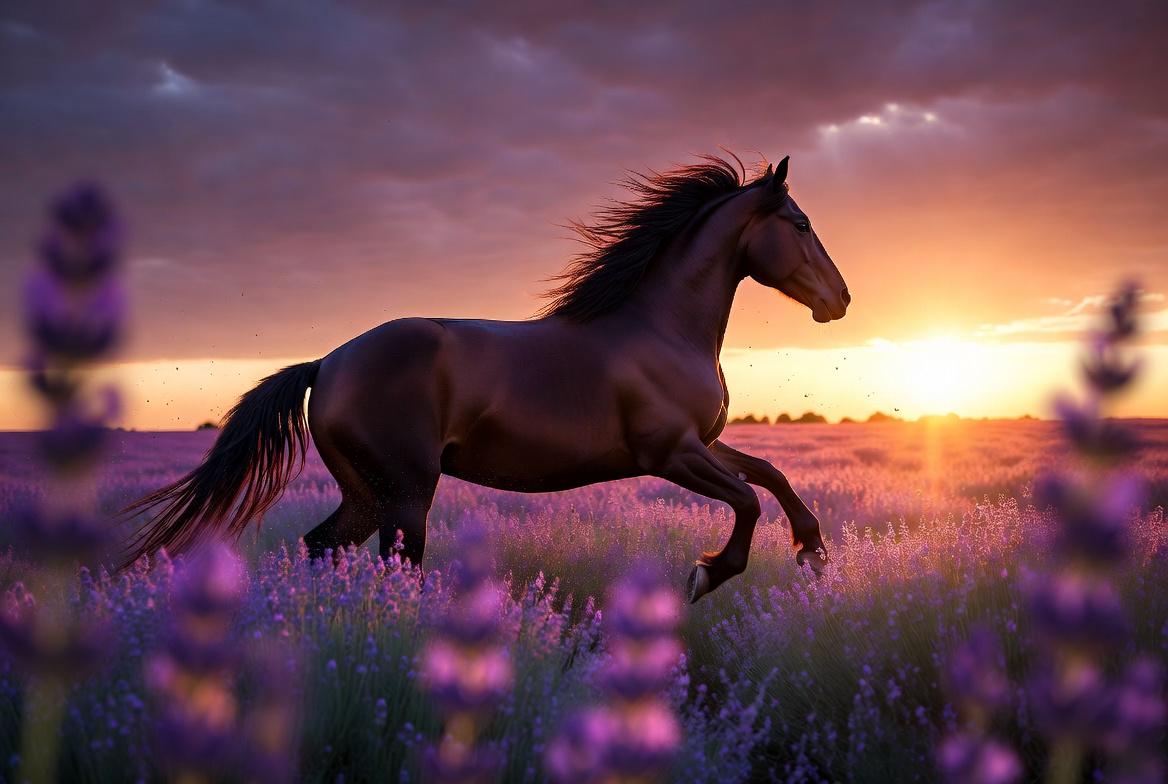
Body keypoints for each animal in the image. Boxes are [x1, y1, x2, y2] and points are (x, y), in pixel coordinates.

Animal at [122, 153, 850, 603]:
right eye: (801, 223)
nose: (840, 300)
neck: (661, 327)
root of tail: (326, 364)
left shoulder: (704, 443)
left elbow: (770, 475)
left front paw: (814, 552)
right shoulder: (670, 454)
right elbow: (747, 499)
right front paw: (706, 575)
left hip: (367, 493)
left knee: (322, 546)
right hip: (406, 493)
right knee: (395, 566)